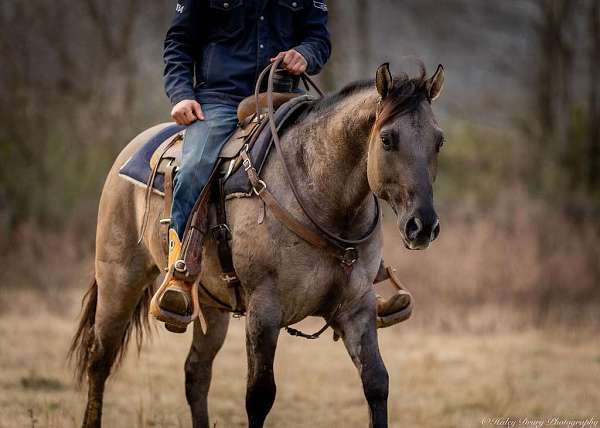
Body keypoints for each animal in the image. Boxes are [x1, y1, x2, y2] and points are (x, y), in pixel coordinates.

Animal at [69, 62, 446, 428]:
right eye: (387, 139)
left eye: (439, 141)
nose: (422, 226)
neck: (322, 196)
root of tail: (132, 149)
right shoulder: (265, 309)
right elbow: (260, 395)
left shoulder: (357, 307)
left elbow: (376, 382)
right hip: (120, 278)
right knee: (100, 358)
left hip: (211, 304)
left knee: (196, 373)